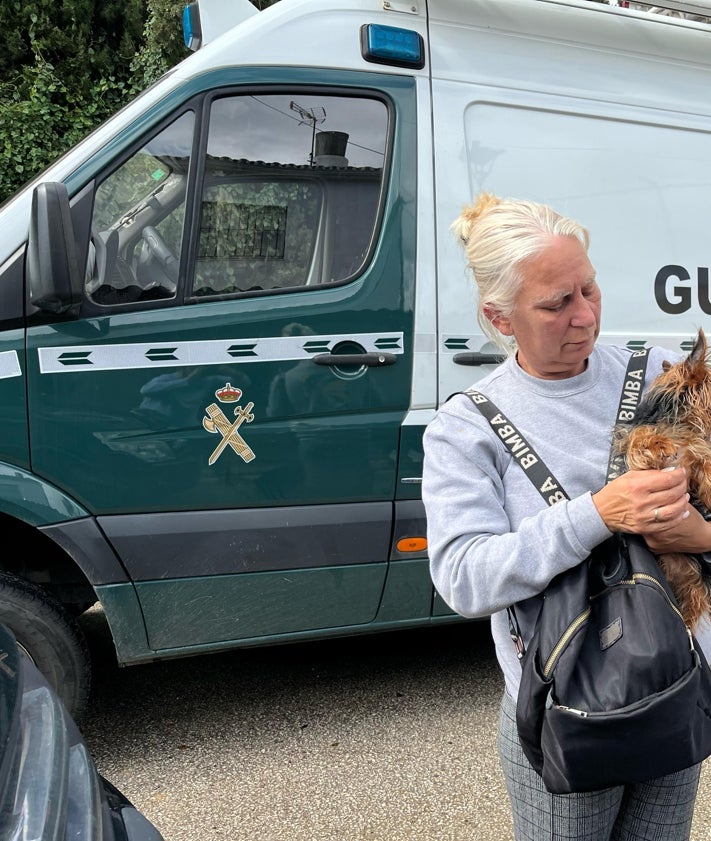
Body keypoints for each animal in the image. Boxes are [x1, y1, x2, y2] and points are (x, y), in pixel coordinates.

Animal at [612, 328, 711, 632]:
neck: (682, 424)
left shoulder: (699, 457)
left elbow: (707, 469)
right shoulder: (636, 455)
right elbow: (640, 439)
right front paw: (660, 444)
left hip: (692, 574)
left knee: (693, 600)